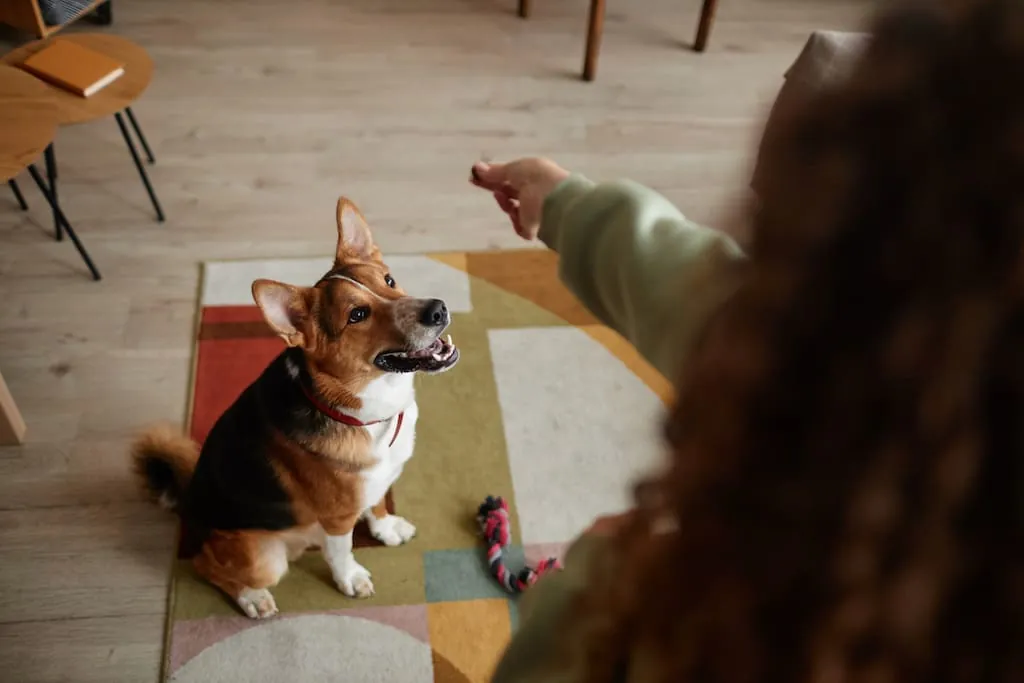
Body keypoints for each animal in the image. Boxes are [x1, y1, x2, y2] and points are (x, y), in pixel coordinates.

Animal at [132, 197, 460, 618]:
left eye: (388, 281)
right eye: (357, 315)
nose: (438, 309)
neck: (367, 407)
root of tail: (187, 501)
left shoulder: (376, 484)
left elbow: (376, 505)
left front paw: (386, 528)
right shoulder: (337, 516)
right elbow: (343, 552)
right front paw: (350, 578)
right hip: (264, 556)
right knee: (206, 565)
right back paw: (252, 598)